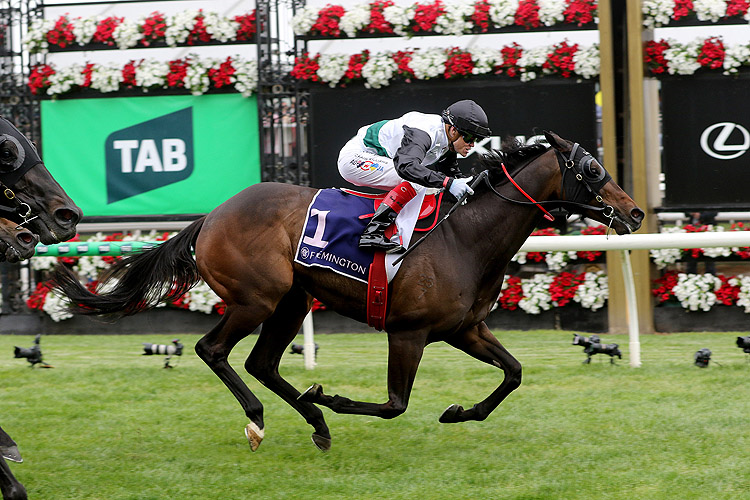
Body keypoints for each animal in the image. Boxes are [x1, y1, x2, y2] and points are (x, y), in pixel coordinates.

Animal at [53, 131, 644, 452]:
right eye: (593, 168)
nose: (635, 213)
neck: (464, 238)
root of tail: (212, 215)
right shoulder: (408, 332)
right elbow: (394, 404)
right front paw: (332, 398)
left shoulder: (465, 329)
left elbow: (514, 373)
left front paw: (458, 412)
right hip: (257, 299)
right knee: (213, 350)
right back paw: (263, 419)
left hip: (292, 301)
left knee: (262, 363)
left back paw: (313, 422)